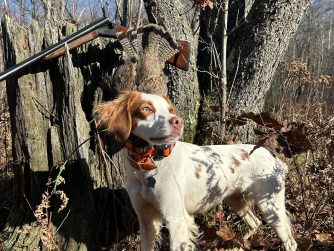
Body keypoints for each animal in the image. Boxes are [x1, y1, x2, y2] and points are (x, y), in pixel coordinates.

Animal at [94, 91, 298, 250]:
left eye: (169, 110)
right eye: (146, 109)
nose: (178, 121)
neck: (148, 167)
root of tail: (272, 157)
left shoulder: (176, 219)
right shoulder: (146, 221)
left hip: (270, 205)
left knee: (290, 241)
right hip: (235, 199)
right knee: (255, 223)